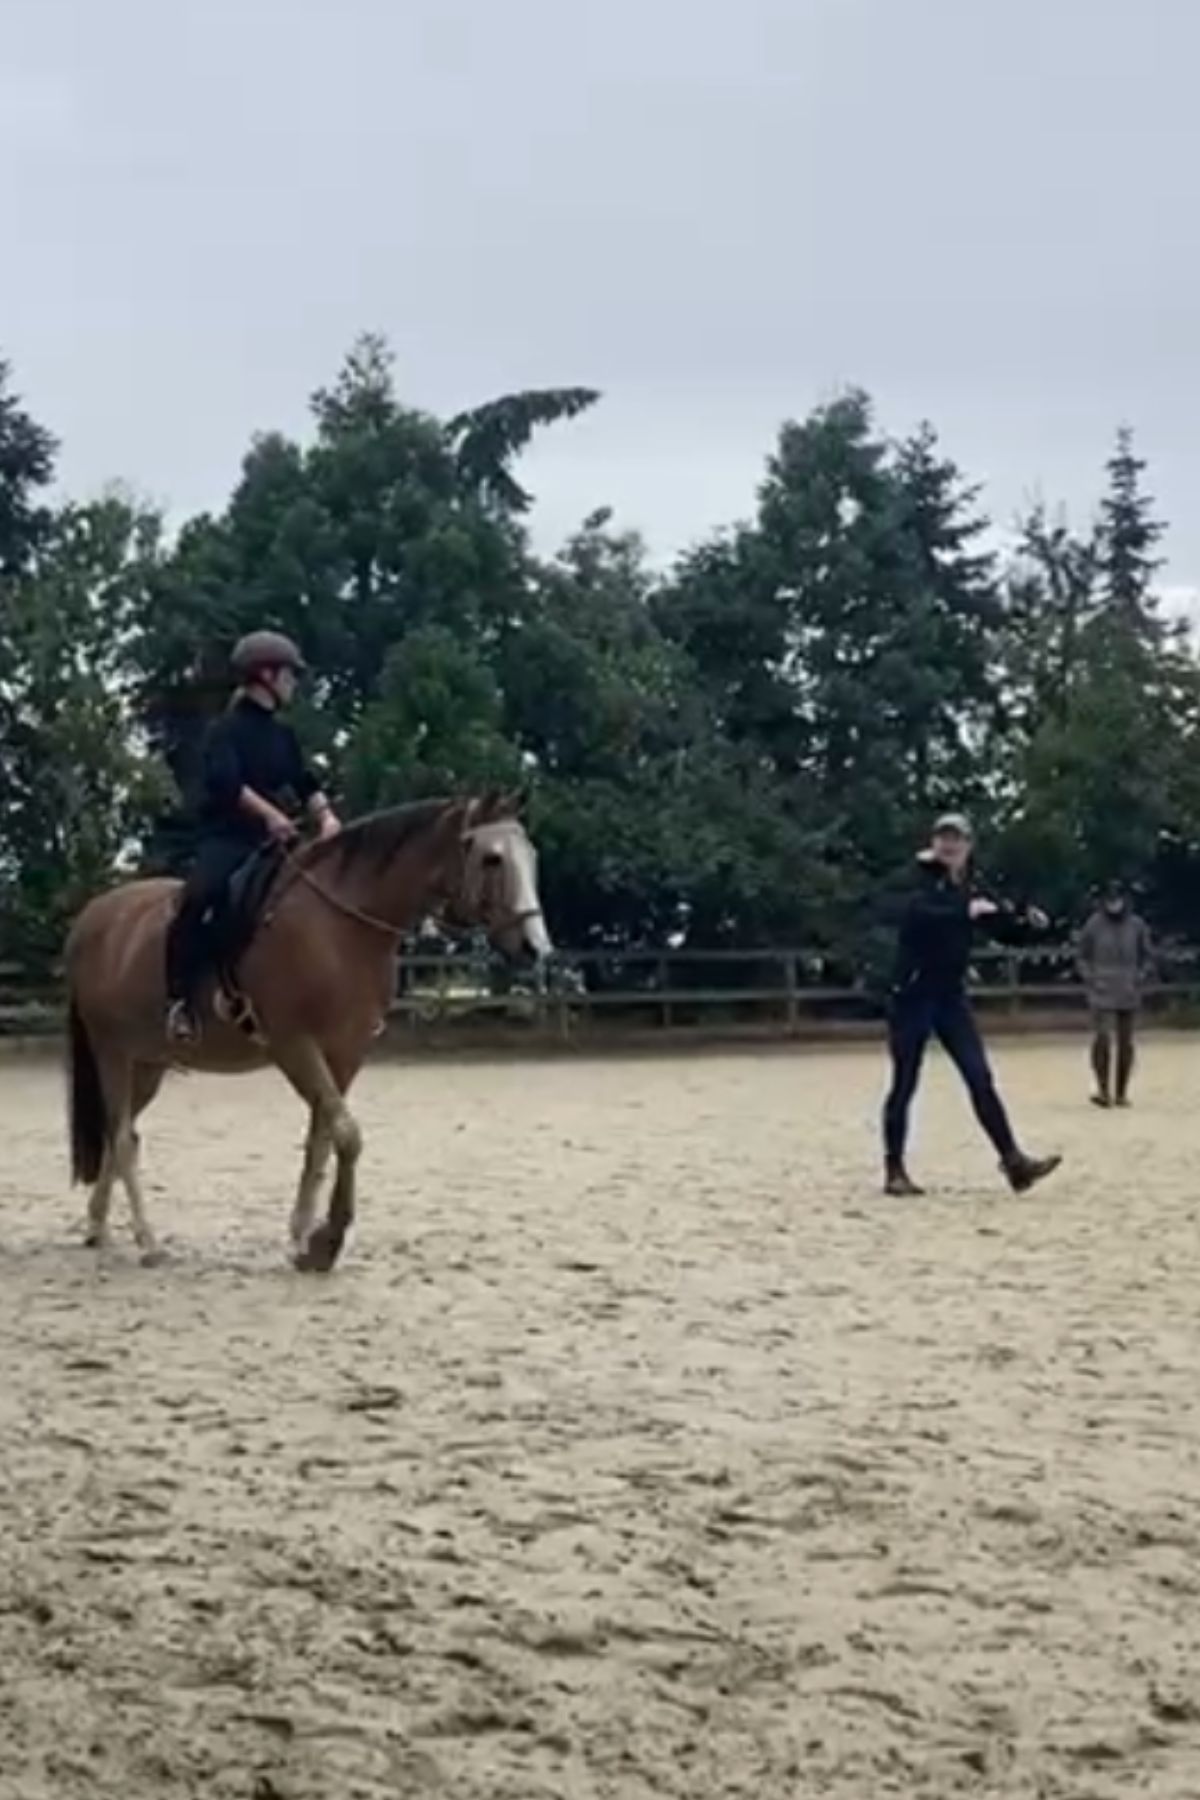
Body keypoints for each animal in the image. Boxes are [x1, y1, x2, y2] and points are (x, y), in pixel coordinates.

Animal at [63, 795, 550, 1274]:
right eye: (491, 858)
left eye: (531, 855)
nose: (535, 947)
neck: (341, 926)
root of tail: (92, 918)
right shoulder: (294, 1045)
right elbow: (348, 1134)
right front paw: (327, 1240)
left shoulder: (346, 1052)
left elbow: (322, 1141)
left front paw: (301, 1239)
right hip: (112, 1052)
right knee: (122, 1139)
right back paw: (148, 1242)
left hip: (147, 1064)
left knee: (119, 1135)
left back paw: (97, 1225)